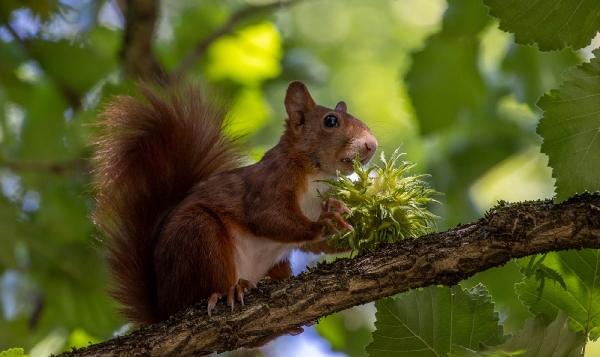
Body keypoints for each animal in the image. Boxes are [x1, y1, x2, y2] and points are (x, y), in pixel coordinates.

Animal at [92, 81, 378, 326]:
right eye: (330, 121)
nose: (372, 145)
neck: (315, 174)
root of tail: (162, 307)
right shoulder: (270, 182)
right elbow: (268, 218)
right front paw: (325, 222)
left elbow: (315, 245)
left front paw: (362, 232)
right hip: (198, 235)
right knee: (200, 293)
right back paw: (229, 291)